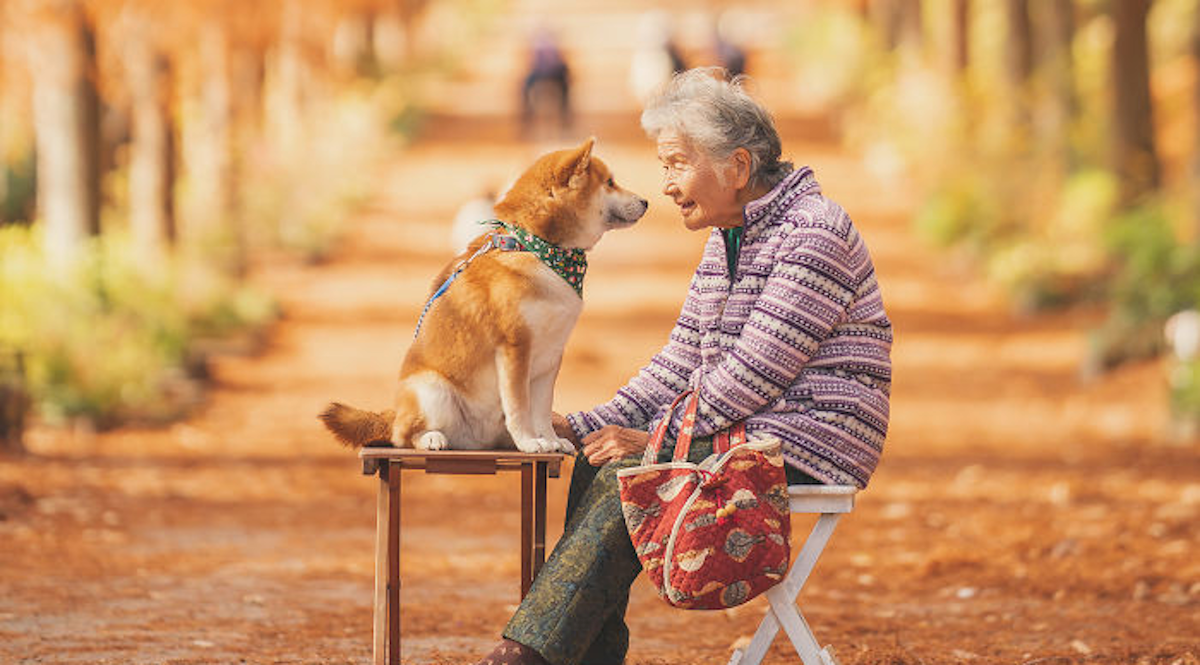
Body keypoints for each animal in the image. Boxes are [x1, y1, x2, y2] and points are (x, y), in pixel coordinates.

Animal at [314, 139, 643, 451]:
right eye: (610, 182)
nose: (646, 201)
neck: (538, 249)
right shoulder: (515, 348)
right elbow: (520, 408)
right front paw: (530, 442)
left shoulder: (551, 357)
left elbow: (541, 410)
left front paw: (550, 440)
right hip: (432, 390)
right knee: (404, 434)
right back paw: (432, 438)